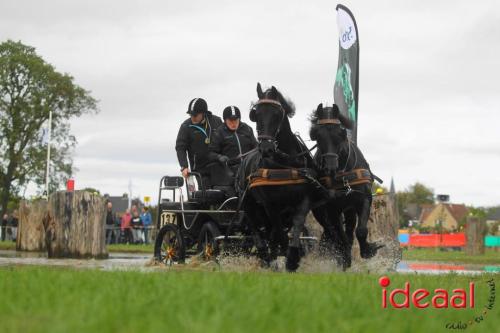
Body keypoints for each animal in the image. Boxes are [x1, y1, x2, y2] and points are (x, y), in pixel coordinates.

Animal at [237, 82, 316, 270]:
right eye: (256, 114)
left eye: (277, 113)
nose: (266, 148)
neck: (284, 163)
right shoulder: (270, 204)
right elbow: (279, 234)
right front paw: (285, 257)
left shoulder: (303, 200)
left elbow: (296, 226)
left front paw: (293, 257)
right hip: (249, 205)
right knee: (257, 230)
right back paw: (265, 256)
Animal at [308, 102, 382, 268]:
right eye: (317, 135)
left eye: (339, 133)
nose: (330, 167)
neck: (342, 173)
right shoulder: (332, 207)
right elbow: (340, 236)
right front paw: (345, 257)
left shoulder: (364, 198)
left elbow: (361, 230)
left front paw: (368, 250)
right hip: (321, 212)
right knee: (333, 232)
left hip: (349, 210)